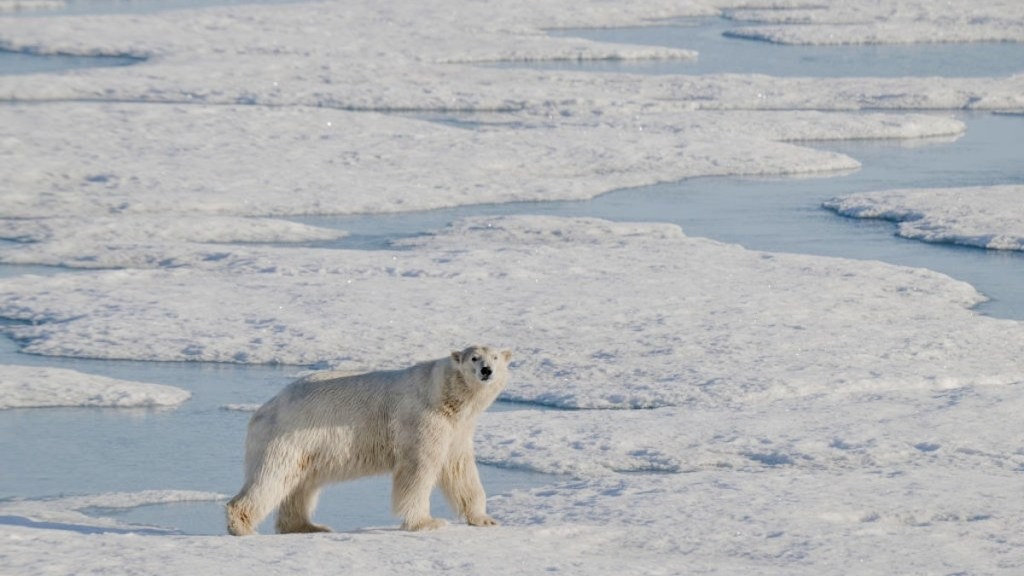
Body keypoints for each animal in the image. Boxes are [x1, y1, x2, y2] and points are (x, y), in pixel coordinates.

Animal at [225, 342, 512, 532]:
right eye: (474, 358)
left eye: (496, 357)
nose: (487, 370)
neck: (444, 395)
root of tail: (265, 409)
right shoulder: (421, 420)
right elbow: (418, 470)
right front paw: (426, 522)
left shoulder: (456, 428)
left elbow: (460, 469)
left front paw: (485, 519)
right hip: (288, 435)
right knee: (272, 477)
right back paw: (242, 524)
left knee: (300, 484)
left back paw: (308, 526)